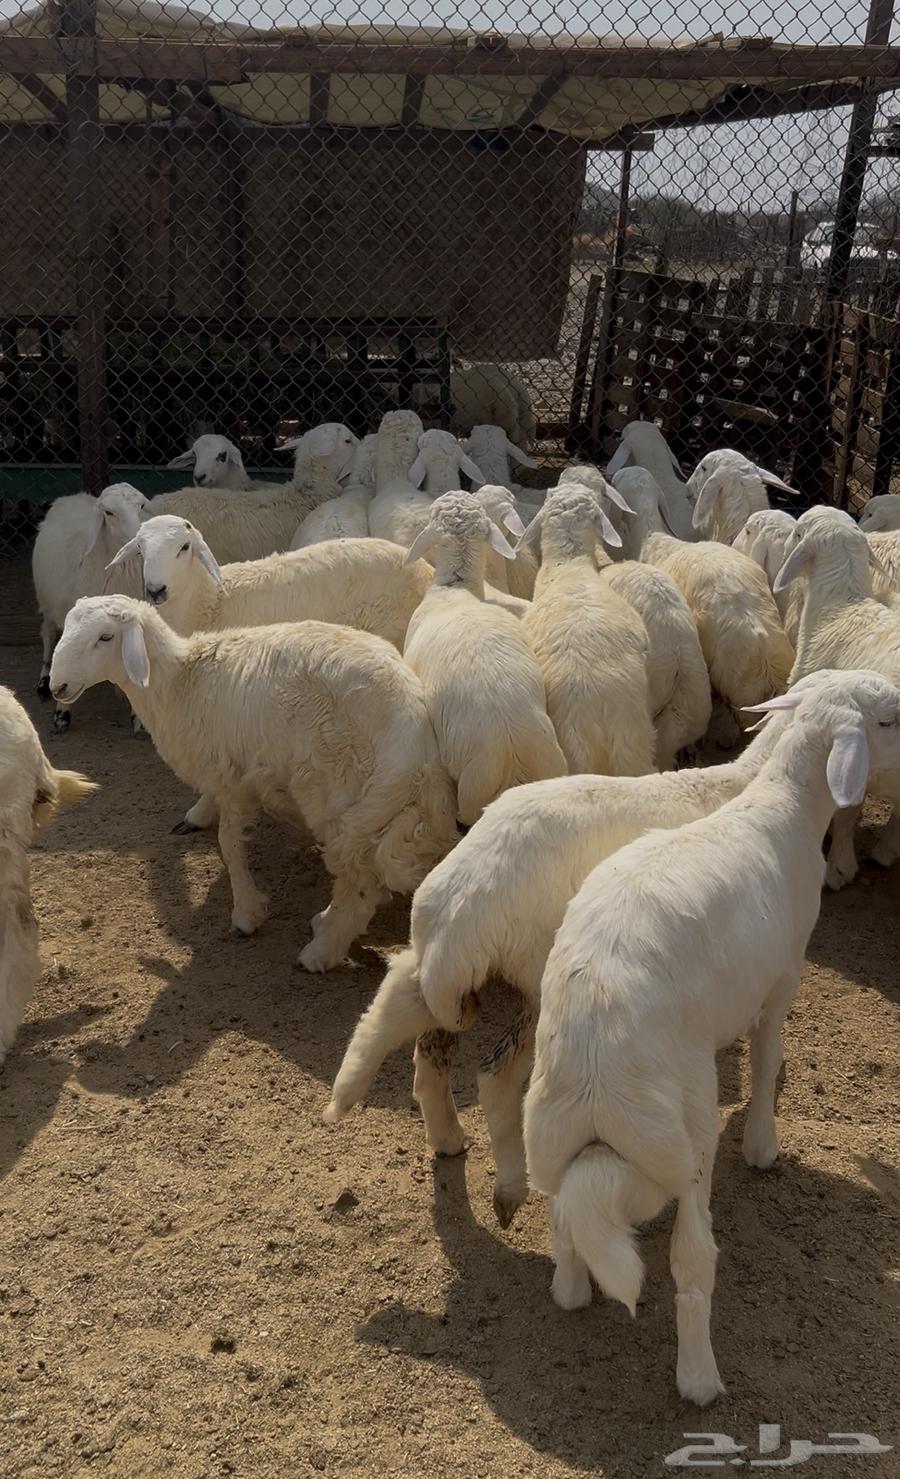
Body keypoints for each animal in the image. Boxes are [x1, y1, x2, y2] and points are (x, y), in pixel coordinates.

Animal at [32, 482, 150, 731]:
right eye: (109, 513)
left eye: (141, 506)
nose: (139, 543)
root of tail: (73, 496)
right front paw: (62, 712)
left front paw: (137, 715)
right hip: (46, 602)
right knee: (48, 635)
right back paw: (44, 681)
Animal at [49, 597, 459, 972]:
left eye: (105, 637)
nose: (56, 686)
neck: (180, 683)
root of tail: (417, 737)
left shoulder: (232, 779)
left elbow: (230, 846)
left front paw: (246, 913)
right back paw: (325, 924)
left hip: (338, 791)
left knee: (359, 886)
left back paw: (320, 952)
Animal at [324, 669, 843, 1225]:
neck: (747, 783)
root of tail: (465, 902)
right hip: (537, 975)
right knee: (495, 1075)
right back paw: (509, 1187)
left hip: (445, 964)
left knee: (409, 1016)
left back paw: (391, 1112)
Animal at [522, 670, 900, 1405]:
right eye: (889, 720)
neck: (783, 807)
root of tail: (595, 1067)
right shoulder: (784, 974)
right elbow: (768, 1054)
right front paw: (761, 1144)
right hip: (681, 1132)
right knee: (691, 1261)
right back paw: (698, 1378)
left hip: (549, 1137)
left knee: (563, 1224)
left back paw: (571, 1286)